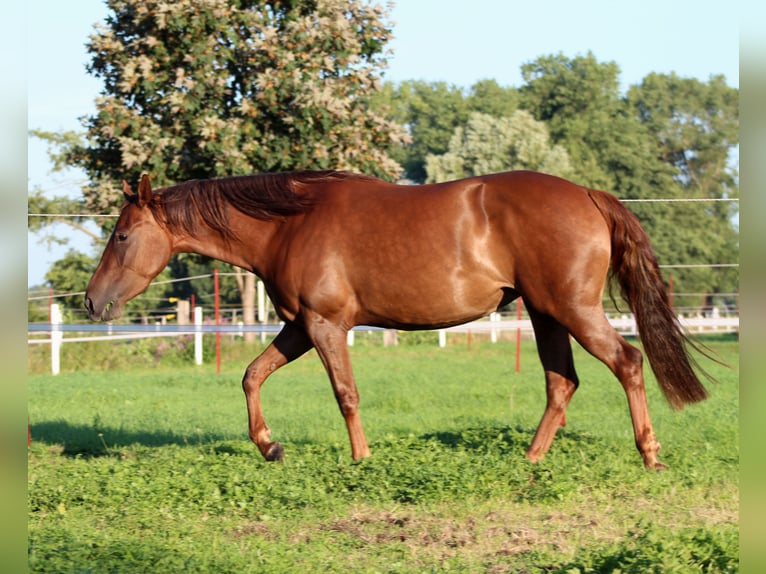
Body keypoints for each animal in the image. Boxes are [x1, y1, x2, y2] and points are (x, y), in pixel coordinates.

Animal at [84, 170, 711, 469]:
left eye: (122, 236)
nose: (91, 303)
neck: (290, 222)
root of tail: (585, 193)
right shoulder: (299, 327)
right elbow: (251, 375)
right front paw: (269, 447)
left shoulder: (325, 326)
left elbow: (346, 394)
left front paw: (360, 459)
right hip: (545, 314)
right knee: (563, 383)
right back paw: (529, 460)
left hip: (571, 310)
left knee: (627, 362)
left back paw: (650, 455)